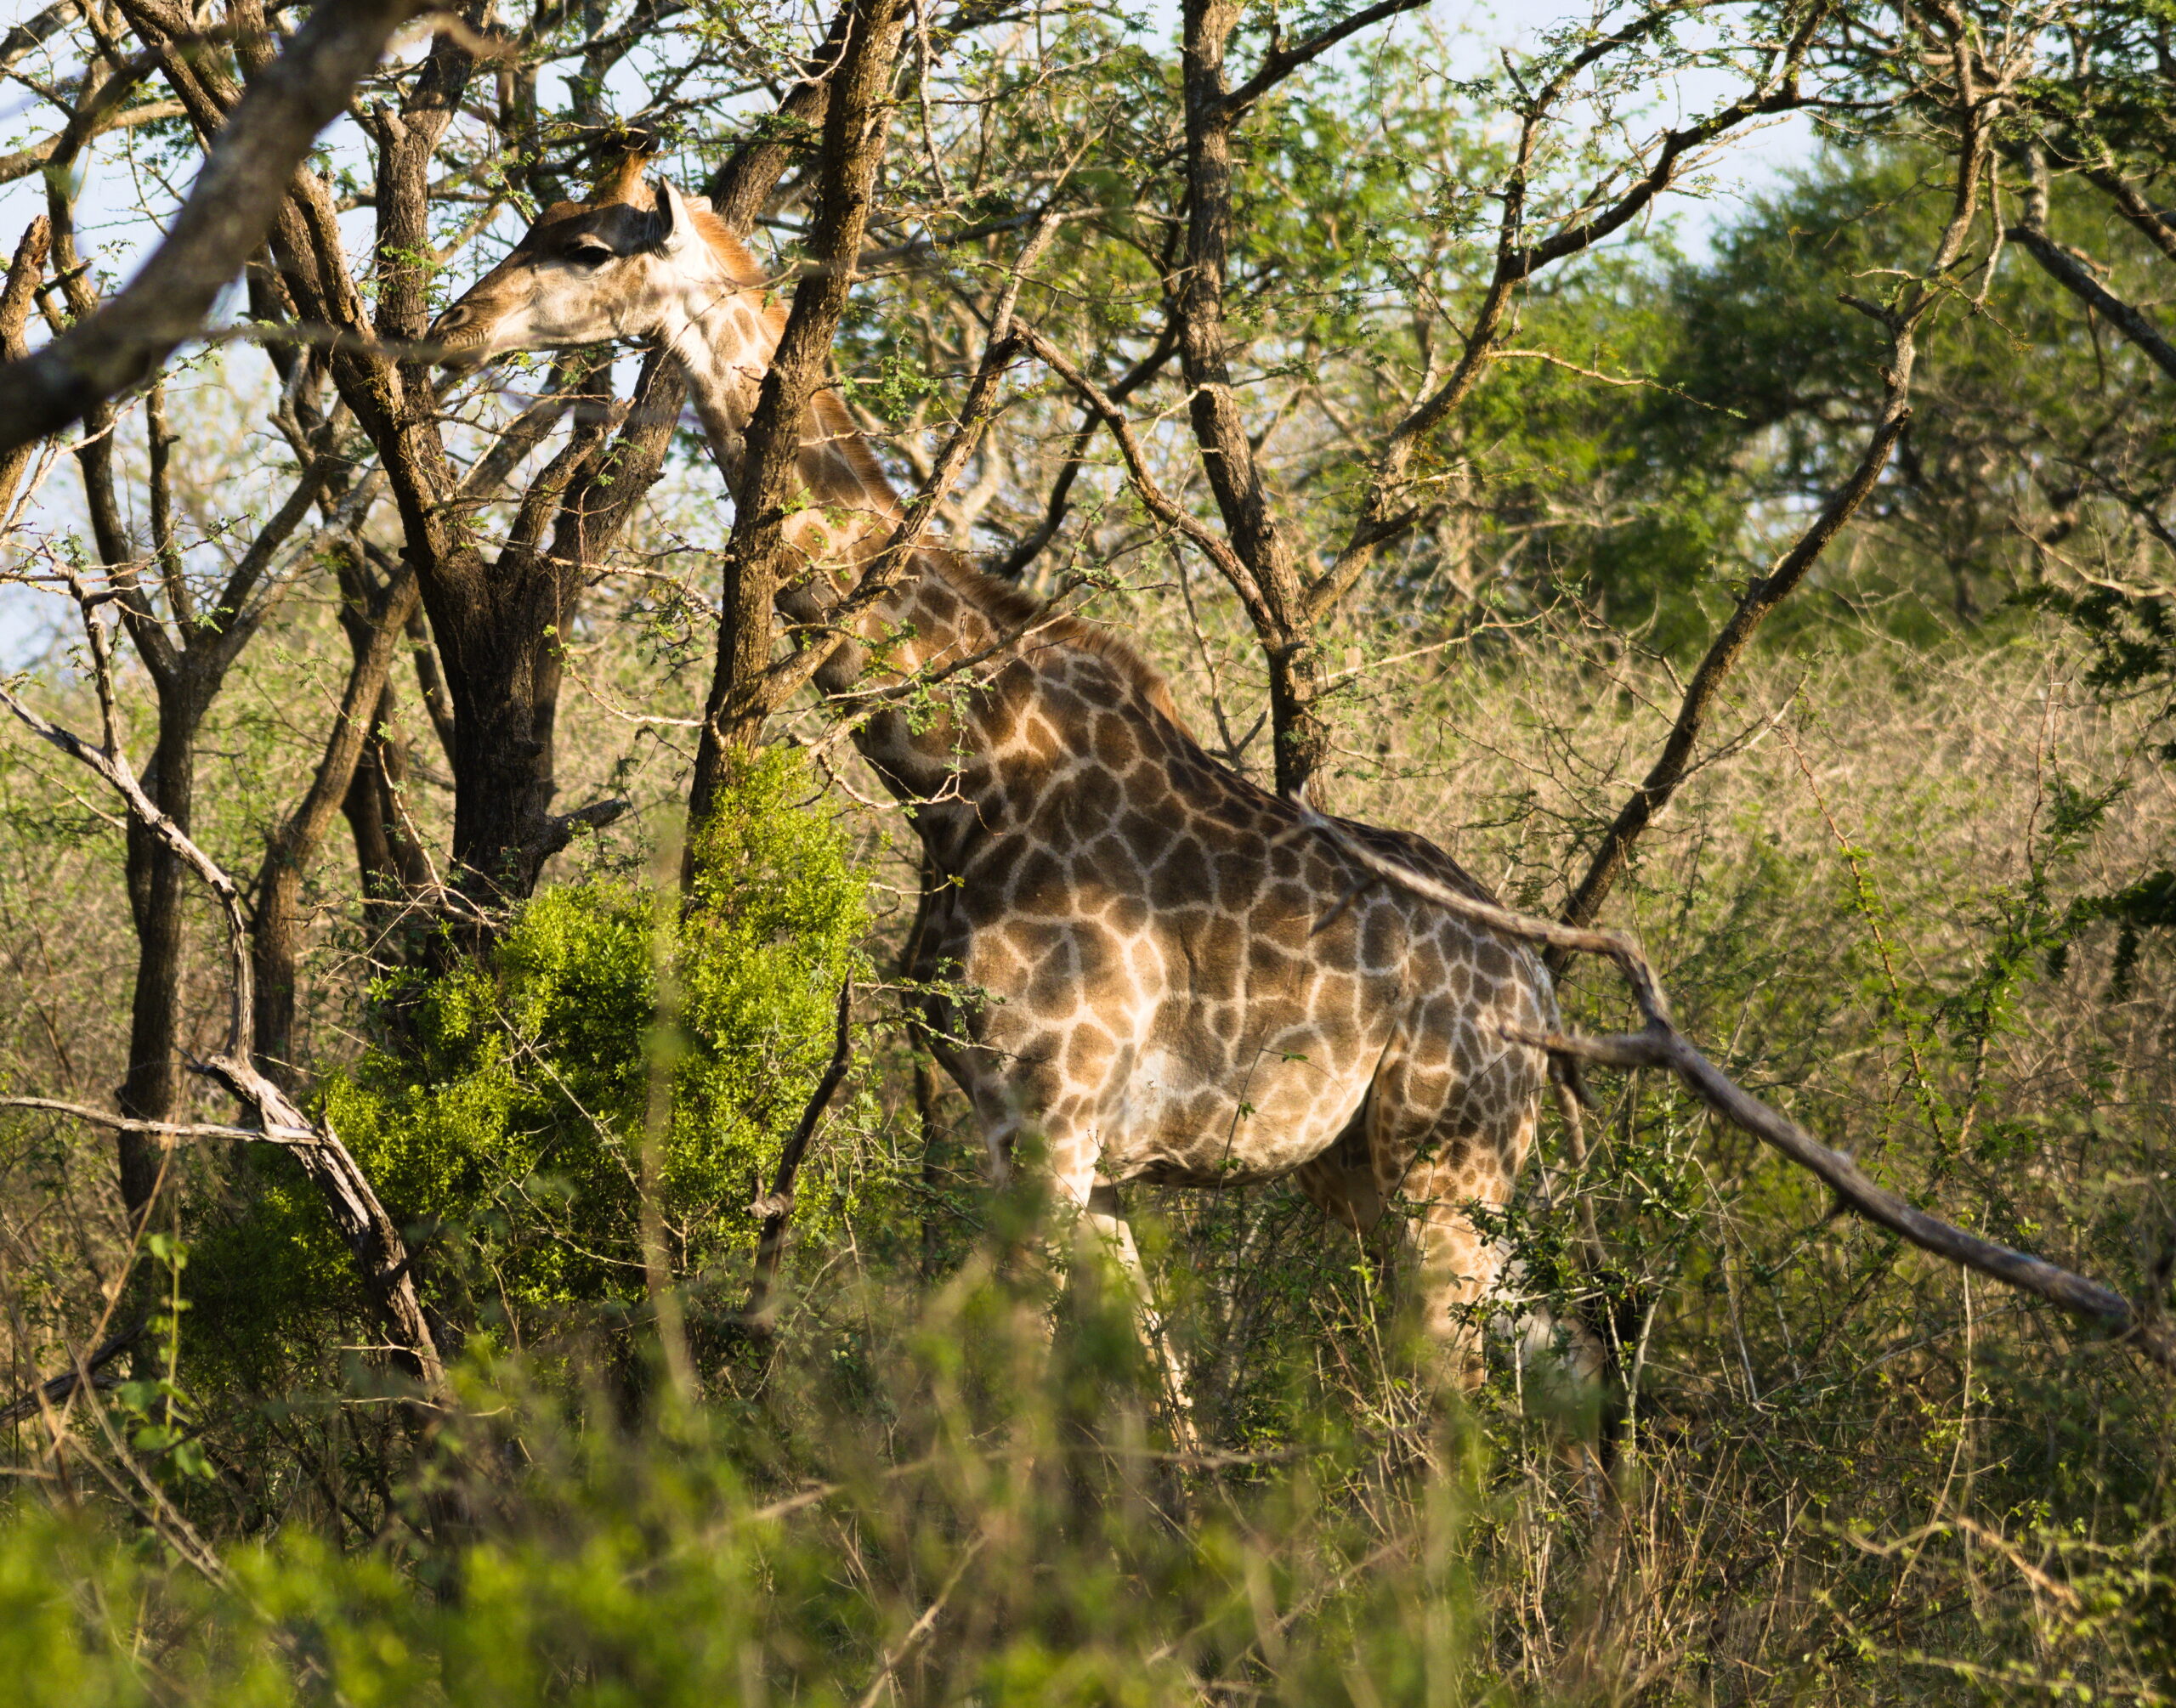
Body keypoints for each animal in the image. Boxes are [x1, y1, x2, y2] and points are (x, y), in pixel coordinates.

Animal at [427, 155, 1584, 1407]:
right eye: (538, 223)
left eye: (586, 248)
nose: (452, 328)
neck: (964, 778)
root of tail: (1536, 983)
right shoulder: (1048, 1139)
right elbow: (1152, 1400)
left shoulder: (1048, 1121)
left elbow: (1023, 1387)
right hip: (1361, 1167)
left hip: (1448, 1161)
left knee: (1463, 1394)